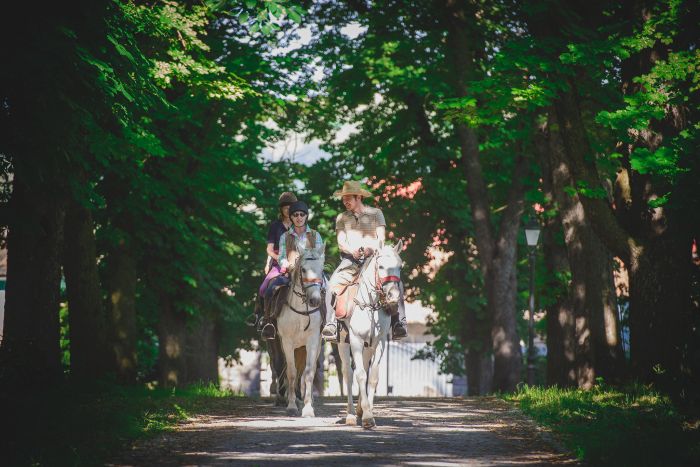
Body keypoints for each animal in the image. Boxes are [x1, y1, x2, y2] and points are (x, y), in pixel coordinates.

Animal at [276, 241, 326, 416]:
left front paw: (308, 408)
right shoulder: (287, 342)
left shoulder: (312, 342)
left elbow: (309, 373)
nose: (315, 300)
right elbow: (291, 372)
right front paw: (291, 406)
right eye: (303, 269)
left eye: (322, 269)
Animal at [334, 243, 404, 430]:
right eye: (381, 267)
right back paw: (351, 415)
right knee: (348, 373)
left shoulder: (379, 343)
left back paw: (358, 410)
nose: (393, 297)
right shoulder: (356, 341)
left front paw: (368, 413)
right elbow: (359, 375)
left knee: (364, 368)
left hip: (368, 347)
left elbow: (372, 377)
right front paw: (366, 417)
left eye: (400, 267)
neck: (370, 306)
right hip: (343, 344)